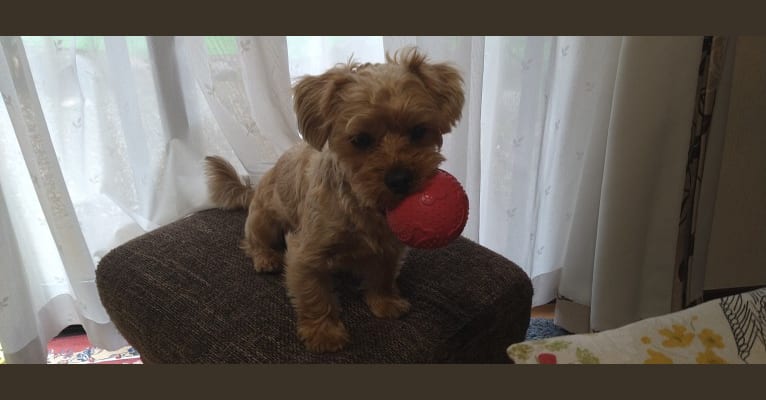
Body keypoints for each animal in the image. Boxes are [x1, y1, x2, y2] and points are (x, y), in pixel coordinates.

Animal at [204, 47, 464, 354]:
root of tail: (253, 189)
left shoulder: (389, 246)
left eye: (418, 131)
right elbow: (314, 295)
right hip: (263, 220)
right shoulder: (305, 253)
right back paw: (265, 257)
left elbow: (383, 275)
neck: (362, 206)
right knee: (252, 241)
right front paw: (323, 332)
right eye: (361, 140)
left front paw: (386, 301)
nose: (400, 179)